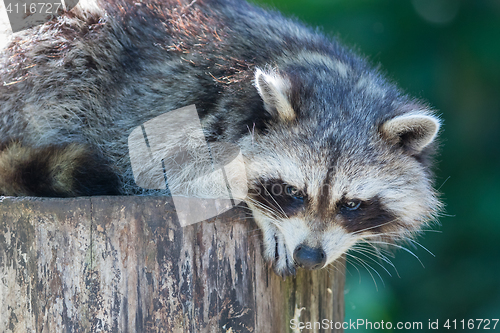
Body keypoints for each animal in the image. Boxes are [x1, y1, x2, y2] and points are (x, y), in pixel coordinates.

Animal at [0, 0, 442, 276]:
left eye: (351, 204)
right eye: (290, 191)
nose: (309, 256)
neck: (335, 79)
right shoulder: (185, 115)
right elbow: (168, 170)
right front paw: (261, 213)